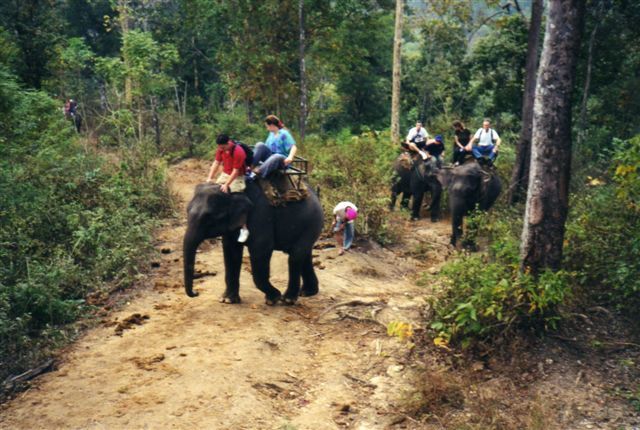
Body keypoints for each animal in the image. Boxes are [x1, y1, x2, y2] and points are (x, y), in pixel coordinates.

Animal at [184, 181, 324, 306]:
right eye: (187, 211)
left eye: (208, 217)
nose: (196, 293)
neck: (234, 192)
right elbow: (231, 251)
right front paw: (227, 300)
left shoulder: (260, 216)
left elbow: (261, 249)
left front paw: (273, 299)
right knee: (303, 254)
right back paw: (307, 293)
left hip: (312, 223)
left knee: (295, 256)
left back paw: (288, 300)